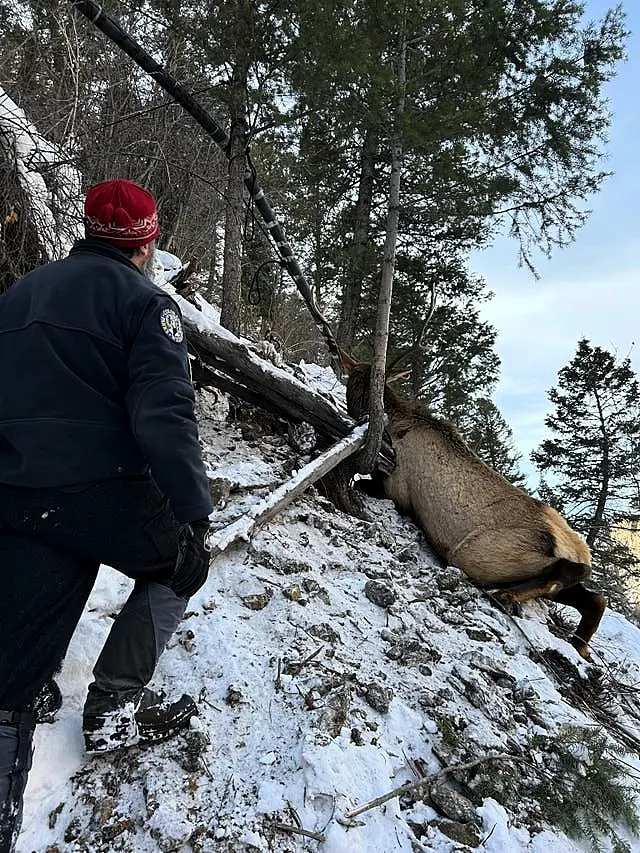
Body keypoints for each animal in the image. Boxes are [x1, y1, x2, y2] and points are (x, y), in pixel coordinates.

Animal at [342, 352, 608, 660]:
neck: (392, 420)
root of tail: (578, 550)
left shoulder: (396, 490)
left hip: (474, 553)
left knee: (567, 577)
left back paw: (506, 596)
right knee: (595, 597)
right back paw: (581, 645)